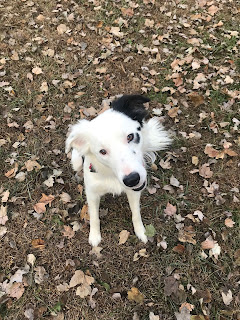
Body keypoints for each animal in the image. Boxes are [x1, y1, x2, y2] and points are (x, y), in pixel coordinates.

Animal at [65, 94, 171, 246]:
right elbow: (94, 217)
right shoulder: (92, 193)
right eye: (102, 151)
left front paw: (141, 232)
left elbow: (136, 214)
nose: (132, 179)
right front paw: (94, 236)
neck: (111, 175)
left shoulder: (133, 192)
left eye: (130, 136)